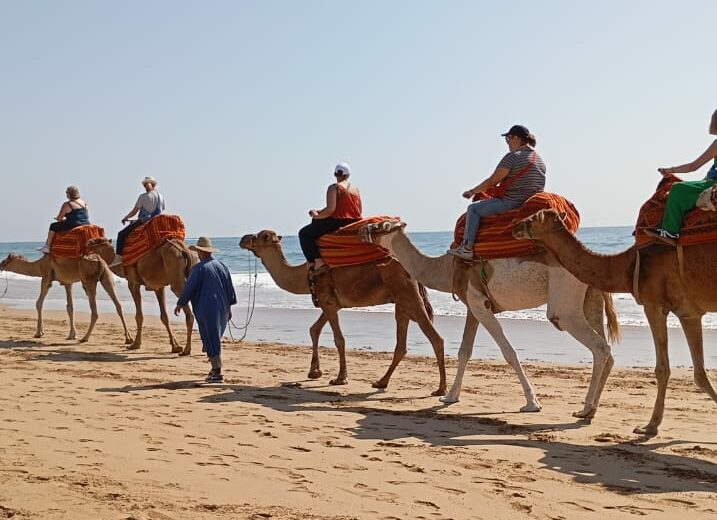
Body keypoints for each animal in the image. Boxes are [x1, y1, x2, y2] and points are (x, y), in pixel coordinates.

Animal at [0, 253, 132, 344]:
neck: (39, 265)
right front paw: (72, 335)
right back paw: (128, 338)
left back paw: (85, 337)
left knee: (95, 311)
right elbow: (70, 307)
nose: (0, 266)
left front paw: (39, 333)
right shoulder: (68, 283)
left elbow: (38, 303)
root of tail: (99, 260)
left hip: (88, 279)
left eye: (5, 260)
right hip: (107, 276)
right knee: (118, 305)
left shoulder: (46, 277)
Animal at [238, 230, 447, 395]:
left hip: (408, 295)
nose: (243, 239)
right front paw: (314, 371)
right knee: (401, 344)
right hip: (400, 302)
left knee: (435, 338)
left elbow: (339, 339)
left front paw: (340, 378)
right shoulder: (329, 303)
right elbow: (314, 329)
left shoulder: (328, 302)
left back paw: (440, 389)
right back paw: (381, 382)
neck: (305, 275)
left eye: (261, 236)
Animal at [359, 219, 620, 417]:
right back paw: (591, 409)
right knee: (607, 350)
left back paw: (585, 408)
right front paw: (450, 396)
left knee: (599, 346)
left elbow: (508, 352)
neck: (445, 268)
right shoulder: (473, 307)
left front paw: (532, 403)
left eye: (379, 225)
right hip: (590, 297)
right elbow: (464, 351)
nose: (361, 230)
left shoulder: (480, 304)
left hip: (564, 303)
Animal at [513, 208, 717, 435]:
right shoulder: (689, 312)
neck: (627, 266)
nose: (515, 226)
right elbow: (699, 373)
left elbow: (663, 369)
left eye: (533, 218)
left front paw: (649, 426)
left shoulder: (653, 305)